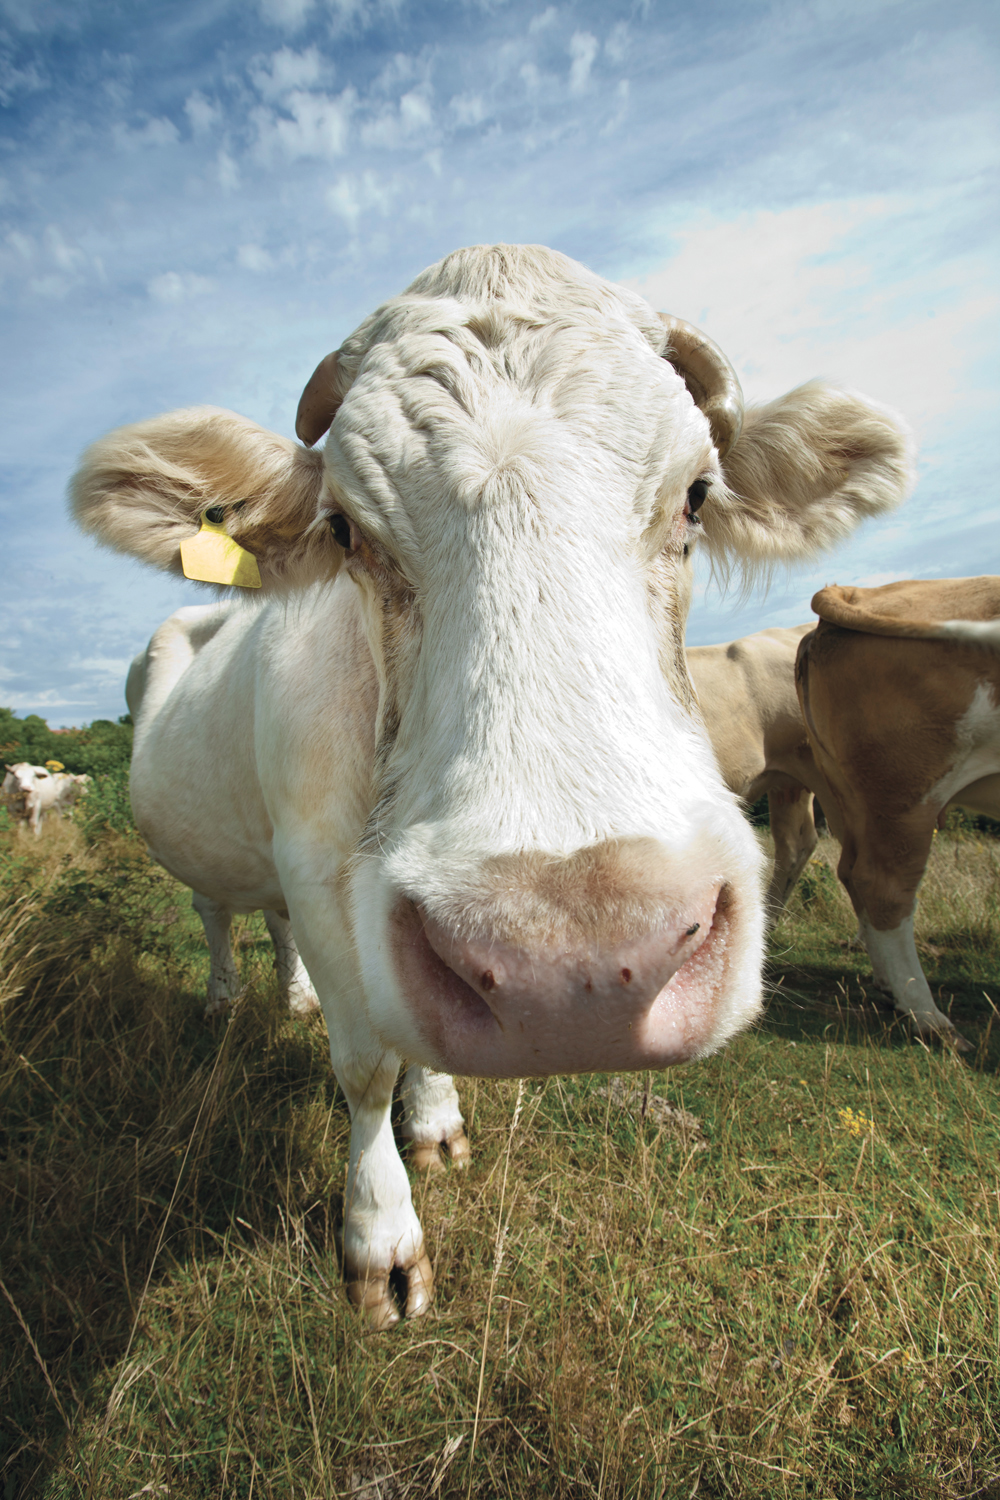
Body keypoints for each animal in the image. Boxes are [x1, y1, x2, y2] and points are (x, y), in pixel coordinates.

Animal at [70, 244, 912, 1325]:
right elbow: (365, 1062)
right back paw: (224, 999)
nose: (575, 973)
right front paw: (381, 1240)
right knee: (218, 912)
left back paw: (287, 996)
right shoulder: (322, 867)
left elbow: (416, 1037)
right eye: (344, 528)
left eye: (696, 495)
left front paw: (436, 1126)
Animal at [796, 577, 1000, 1050]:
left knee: (852, 872)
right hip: (906, 795)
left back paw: (891, 990)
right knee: (883, 886)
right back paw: (928, 1018)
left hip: (854, 798)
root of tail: (850, 592)